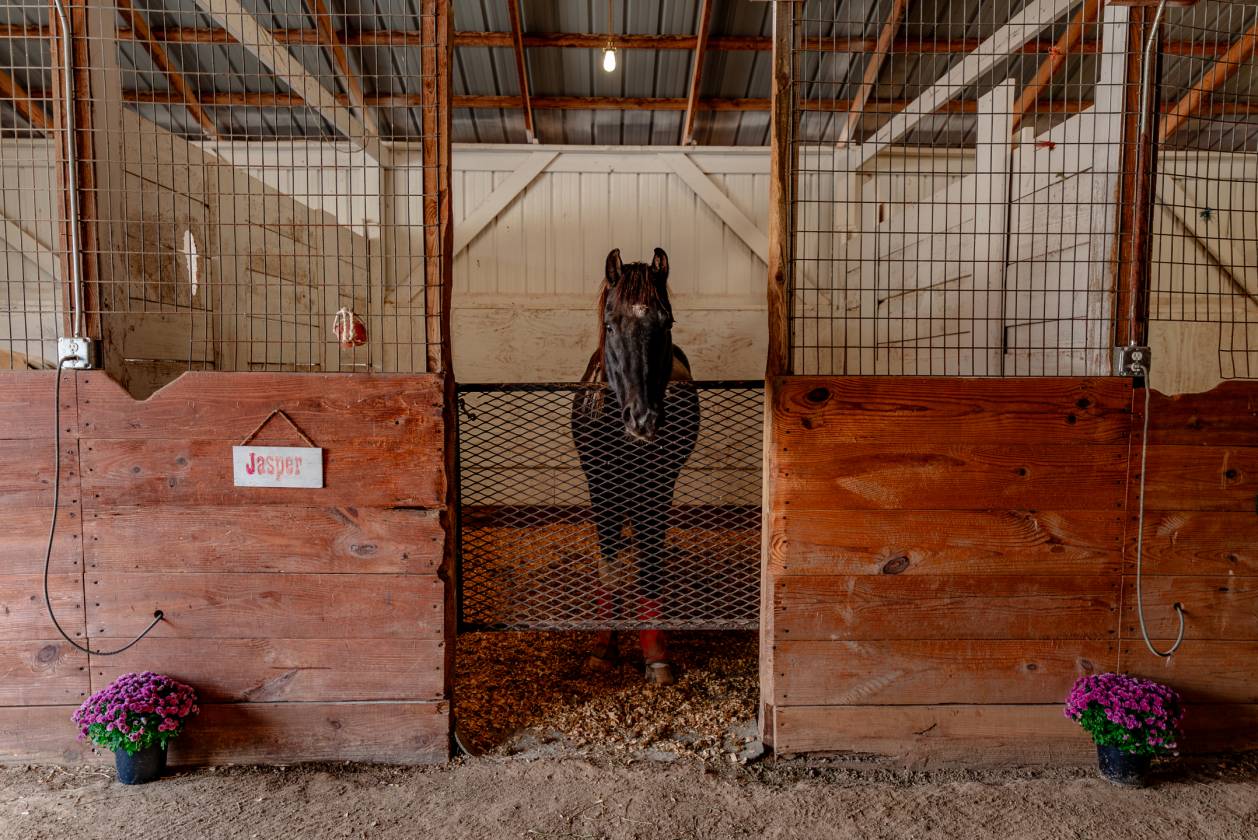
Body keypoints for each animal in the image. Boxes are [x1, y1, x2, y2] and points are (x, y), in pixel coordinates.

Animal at [570, 247, 700, 686]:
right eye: (611, 324)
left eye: (667, 322)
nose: (642, 418)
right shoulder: (601, 489)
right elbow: (609, 565)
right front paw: (603, 649)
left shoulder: (658, 491)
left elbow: (650, 567)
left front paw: (656, 656)